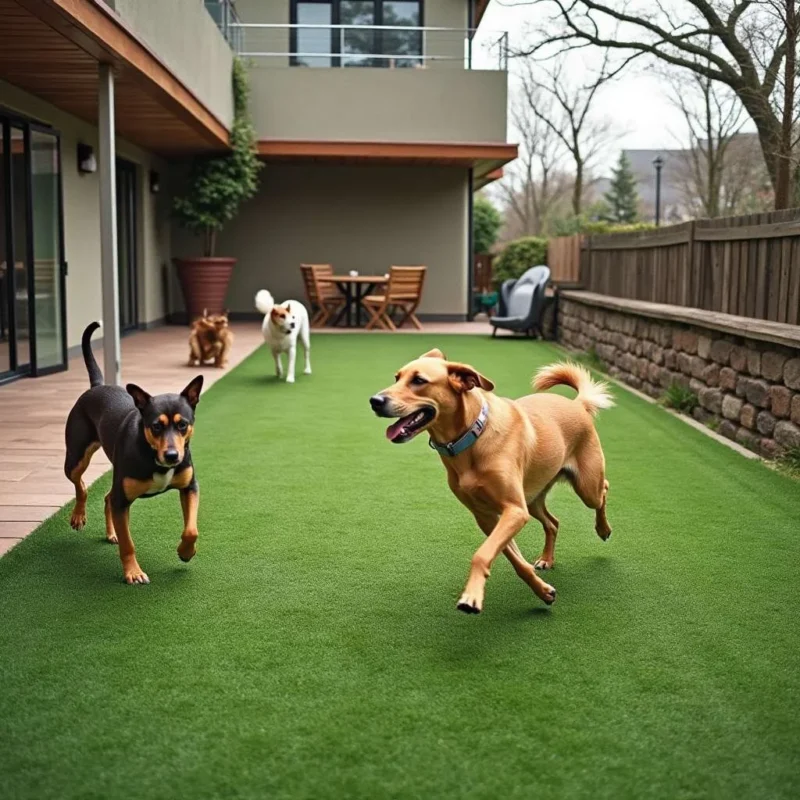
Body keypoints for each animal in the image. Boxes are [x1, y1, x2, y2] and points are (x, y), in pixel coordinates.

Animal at [65, 322, 203, 584]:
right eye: (156, 426)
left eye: (183, 424)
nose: (172, 456)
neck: (153, 456)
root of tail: (97, 386)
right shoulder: (123, 501)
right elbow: (128, 543)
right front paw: (133, 573)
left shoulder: (189, 488)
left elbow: (191, 529)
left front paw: (186, 552)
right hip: (76, 458)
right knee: (81, 485)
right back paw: (78, 516)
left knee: (106, 496)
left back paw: (111, 533)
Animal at [368, 348, 612, 612]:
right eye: (397, 378)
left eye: (419, 380)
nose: (375, 401)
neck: (472, 436)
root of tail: (578, 404)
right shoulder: (488, 516)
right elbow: (515, 560)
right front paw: (543, 591)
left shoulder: (514, 511)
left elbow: (482, 554)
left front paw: (471, 596)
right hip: (533, 499)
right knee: (553, 522)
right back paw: (547, 559)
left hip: (586, 487)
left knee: (603, 490)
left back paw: (603, 529)